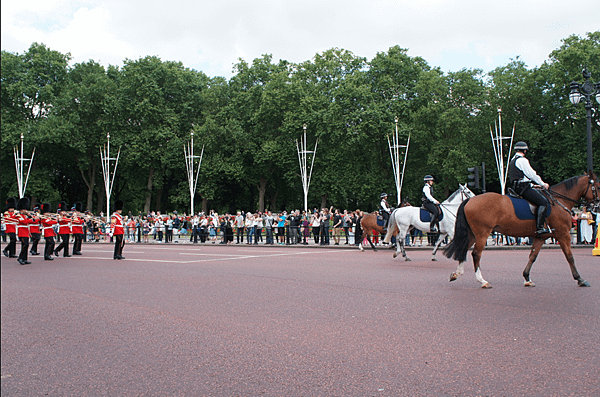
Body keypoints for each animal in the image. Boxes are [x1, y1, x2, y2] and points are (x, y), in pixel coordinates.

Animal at [442, 173, 596, 288]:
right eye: (597, 185)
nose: (596, 205)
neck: (558, 202)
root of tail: (470, 201)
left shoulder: (540, 237)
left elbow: (532, 256)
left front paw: (527, 278)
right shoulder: (563, 234)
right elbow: (570, 256)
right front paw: (580, 279)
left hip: (473, 234)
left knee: (463, 250)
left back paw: (457, 274)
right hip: (482, 234)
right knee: (475, 254)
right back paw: (482, 281)